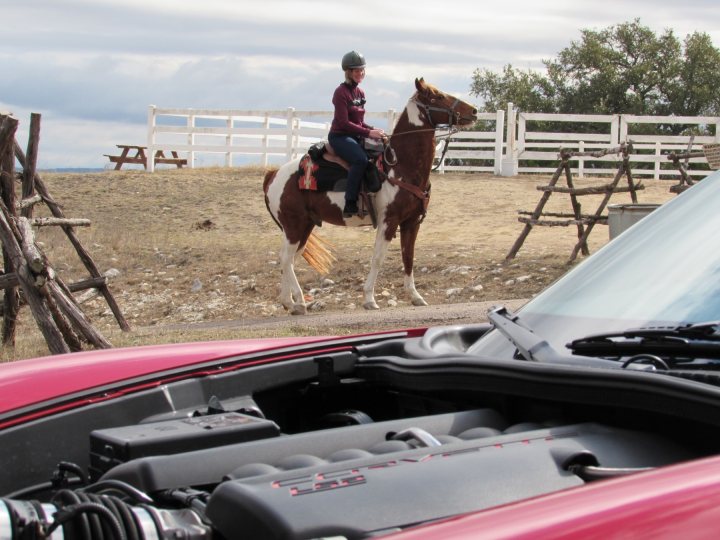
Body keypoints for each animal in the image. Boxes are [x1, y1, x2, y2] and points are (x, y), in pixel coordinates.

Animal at [262, 78, 478, 314]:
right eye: (437, 96)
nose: (474, 111)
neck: (399, 167)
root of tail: (274, 174)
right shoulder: (388, 221)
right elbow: (378, 259)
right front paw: (369, 299)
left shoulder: (412, 222)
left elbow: (408, 257)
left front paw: (415, 296)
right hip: (294, 224)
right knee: (285, 258)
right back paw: (300, 301)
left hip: (305, 225)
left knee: (290, 259)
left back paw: (289, 302)